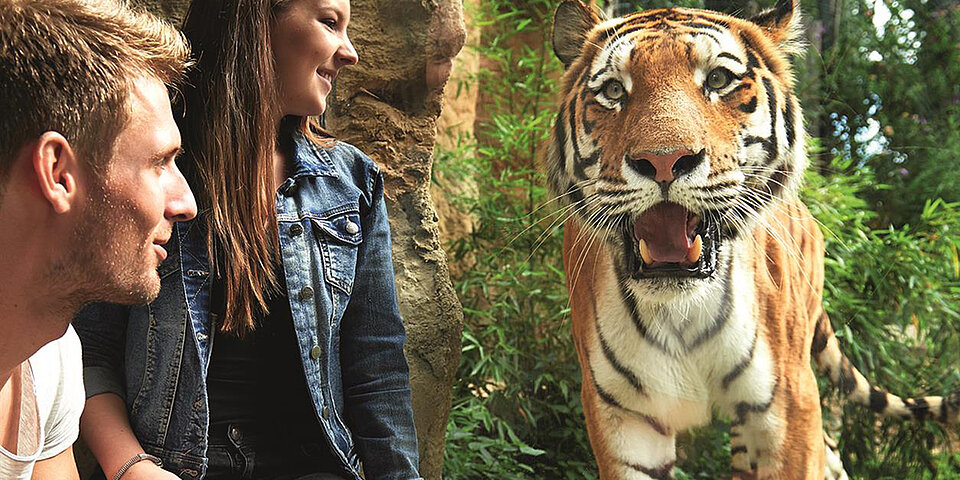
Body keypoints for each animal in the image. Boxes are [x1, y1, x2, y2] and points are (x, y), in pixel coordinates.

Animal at [545, 0, 960, 478]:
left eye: (718, 80)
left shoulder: (791, 400)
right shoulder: (622, 416)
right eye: (614, 90)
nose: (664, 160)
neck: (680, 310)